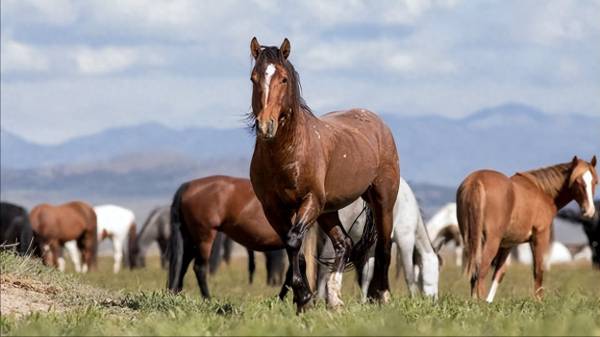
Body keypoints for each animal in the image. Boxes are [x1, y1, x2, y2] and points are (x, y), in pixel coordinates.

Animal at [247, 36, 398, 310]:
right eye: (254, 78)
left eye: (283, 79)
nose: (266, 126)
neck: (289, 153)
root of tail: (376, 122)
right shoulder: (273, 208)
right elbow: (293, 248)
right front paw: (303, 298)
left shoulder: (310, 201)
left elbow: (294, 240)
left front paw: (303, 295)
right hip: (329, 211)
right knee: (343, 243)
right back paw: (334, 298)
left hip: (383, 200)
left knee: (383, 246)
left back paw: (381, 295)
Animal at [316, 176, 438, 304]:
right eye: (436, 272)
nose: (434, 300)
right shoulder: (405, 239)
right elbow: (409, 274)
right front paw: (413, 298)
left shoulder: (373, 247)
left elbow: (367, 274)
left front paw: (365, 300)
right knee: (324, 268)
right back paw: (320, 299)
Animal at [460, 156, 596, 300]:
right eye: (577, 181)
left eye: (595, 181)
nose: (589, 211)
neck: (543, 191)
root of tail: (476, 180)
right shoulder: (540, 237)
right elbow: (538, 270)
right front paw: (539, 301)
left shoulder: (508, 244)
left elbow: (499, 274)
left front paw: (489, 301)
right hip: (491, 242)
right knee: (481, 272)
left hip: (471, 242)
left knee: (475, 274)